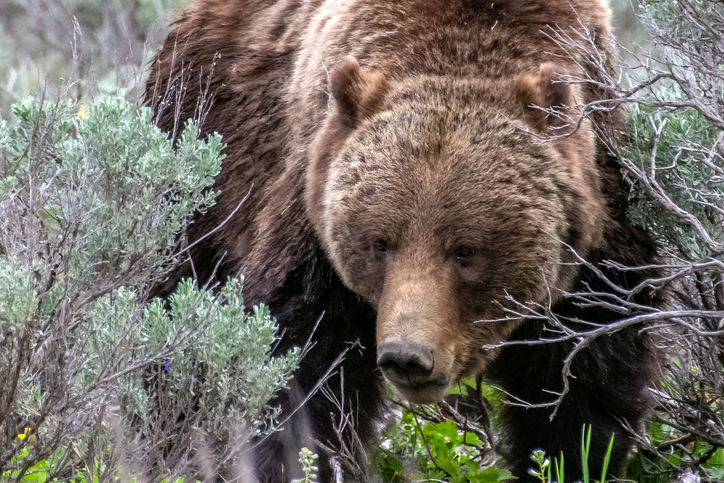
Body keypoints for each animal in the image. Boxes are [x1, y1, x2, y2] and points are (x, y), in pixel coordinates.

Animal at [145, 0, 660, 481]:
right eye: (380, 243)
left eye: (465, 250)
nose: (407, 357)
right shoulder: (313, 216)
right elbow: (295, 366)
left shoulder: (595, 237)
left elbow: (582, 384)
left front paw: (573, 458)